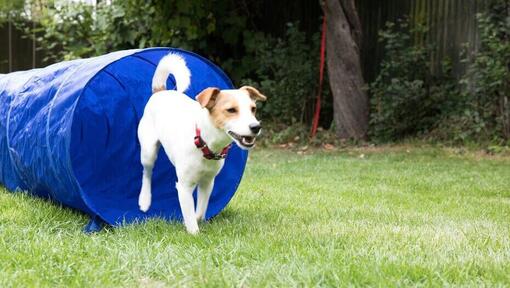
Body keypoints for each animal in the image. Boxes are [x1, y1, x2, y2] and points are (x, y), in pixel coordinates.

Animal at [138, 53, 266, 234]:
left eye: (253, 109)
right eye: (231, 110)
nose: (256, 127)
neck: (205, 143)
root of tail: (160, 91)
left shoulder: (207, 182)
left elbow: (198, 212)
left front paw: (197, 221)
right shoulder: (184, 186)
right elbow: (191, 218)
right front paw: (194, 233)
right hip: (148, 151)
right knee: (147, 173)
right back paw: (145, 200)